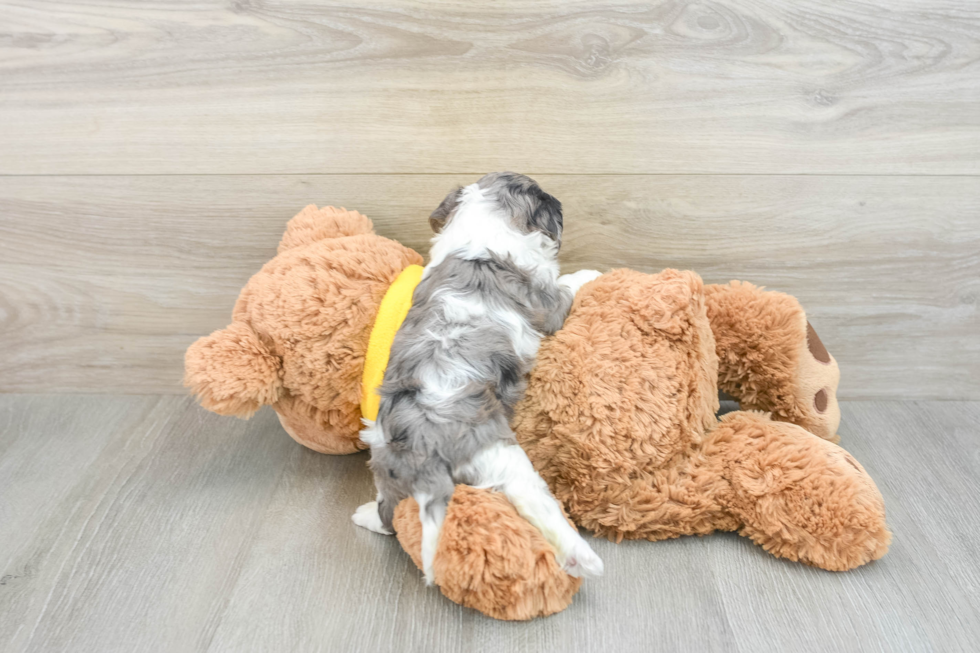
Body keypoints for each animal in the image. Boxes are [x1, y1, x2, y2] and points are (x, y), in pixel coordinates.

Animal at [348, 172, 600, 580]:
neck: (480, 229)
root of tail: (422, 448)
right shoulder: (548, 302)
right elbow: (568, 284)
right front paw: (591, 273)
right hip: (502, 455)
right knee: (534, 501)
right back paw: (583, 558)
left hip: (387, 466)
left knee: (390, 515)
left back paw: (366, 515)